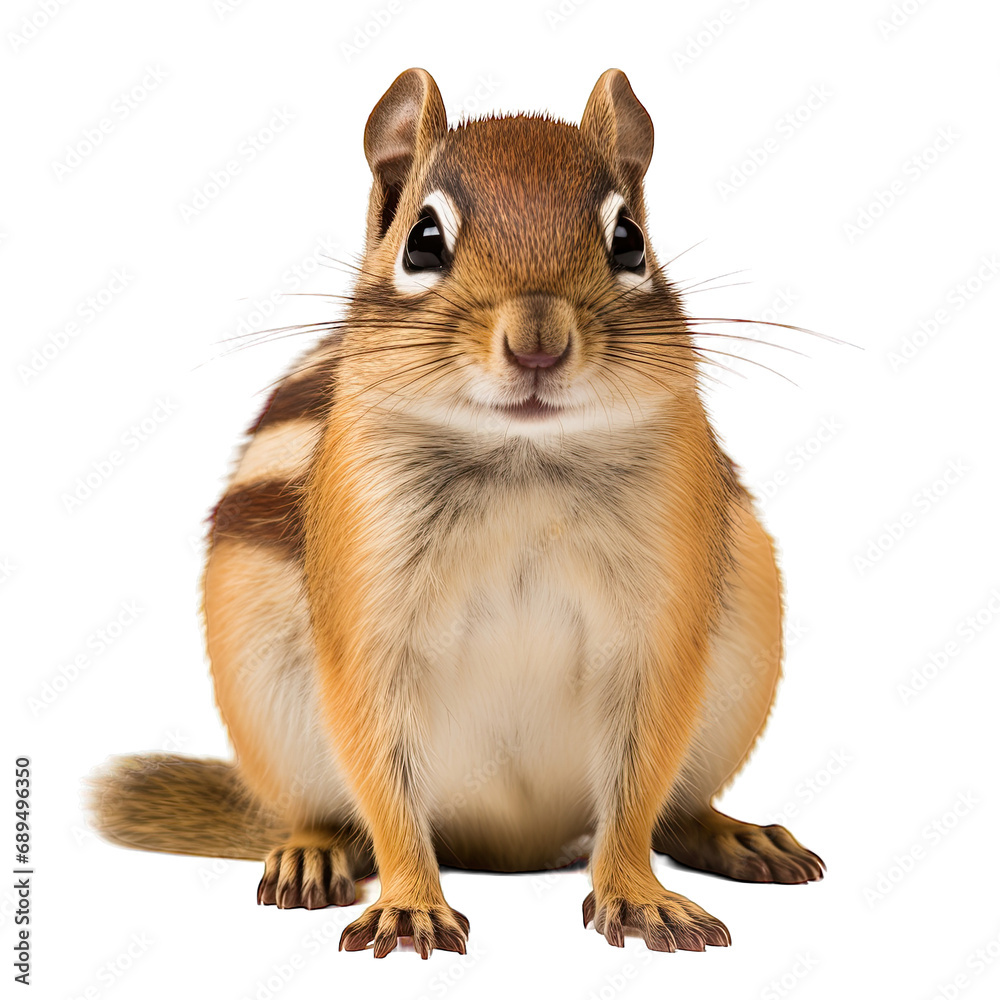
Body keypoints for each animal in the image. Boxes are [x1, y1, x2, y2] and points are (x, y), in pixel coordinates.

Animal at [87, 67, 824, 958]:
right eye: (423, 241)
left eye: (630, 242)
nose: (538, 339)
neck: (522, 462)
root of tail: (515, 848)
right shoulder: (367, 627)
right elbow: (383, 777)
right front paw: (410, 903)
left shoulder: (662, 626)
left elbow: (639, 783)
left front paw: (639, 895)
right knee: (327, 813)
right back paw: (310, 853)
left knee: (676, 809)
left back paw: (737, 836)